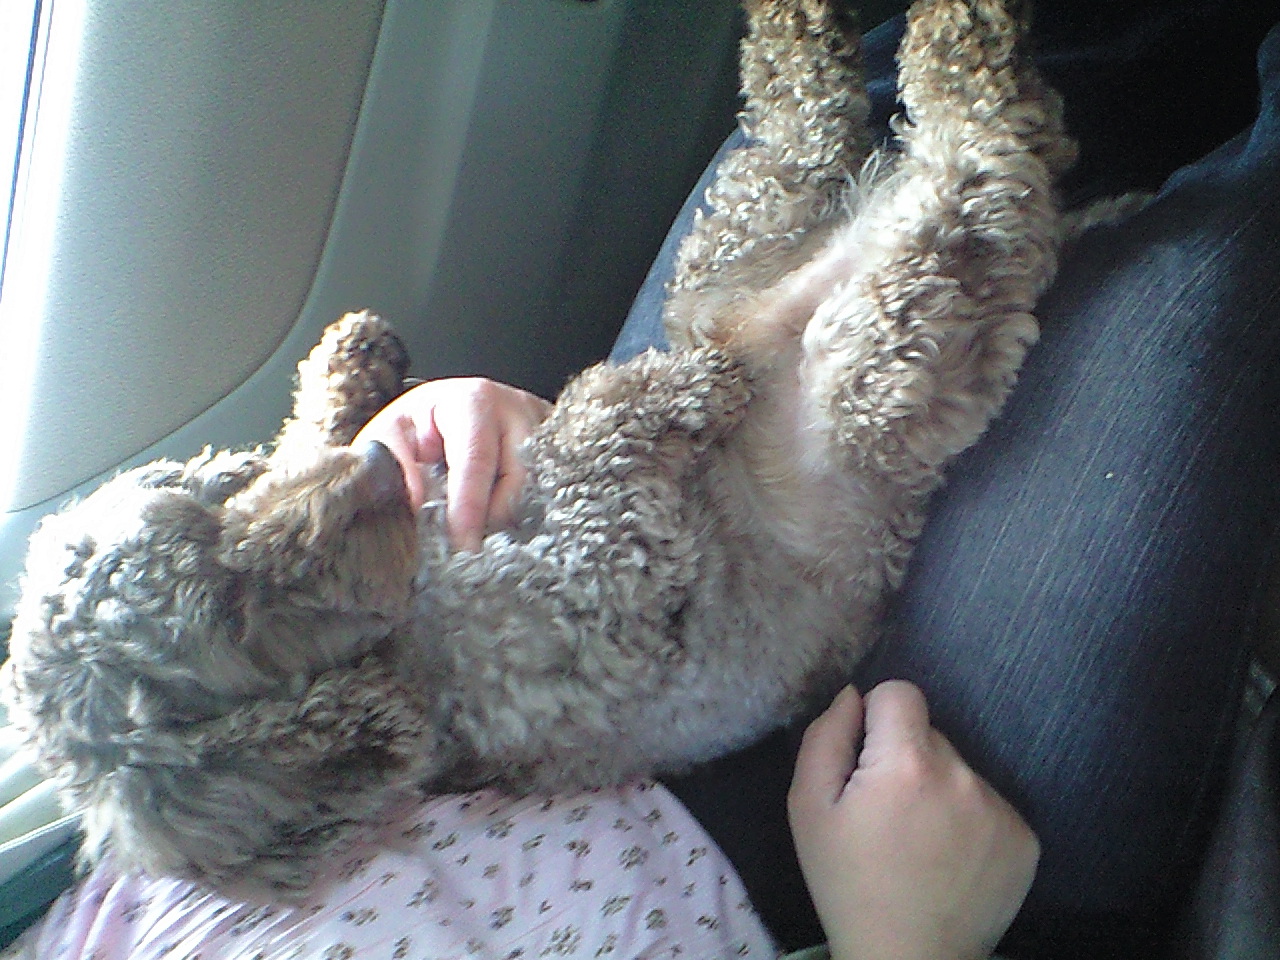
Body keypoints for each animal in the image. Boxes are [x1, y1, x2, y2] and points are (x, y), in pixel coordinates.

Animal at [3, 0, 1074, 900]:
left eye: (213, 509)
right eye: (228, 611)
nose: (384, 471)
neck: (414, 590)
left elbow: (345, 432)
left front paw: (350, 370)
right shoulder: (604, 581)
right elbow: (590, 440)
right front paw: (673, 393)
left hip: (737, 236)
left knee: (804, 120)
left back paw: (810, 23)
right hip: (884, 345)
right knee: (981, 148)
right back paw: (961, 39)